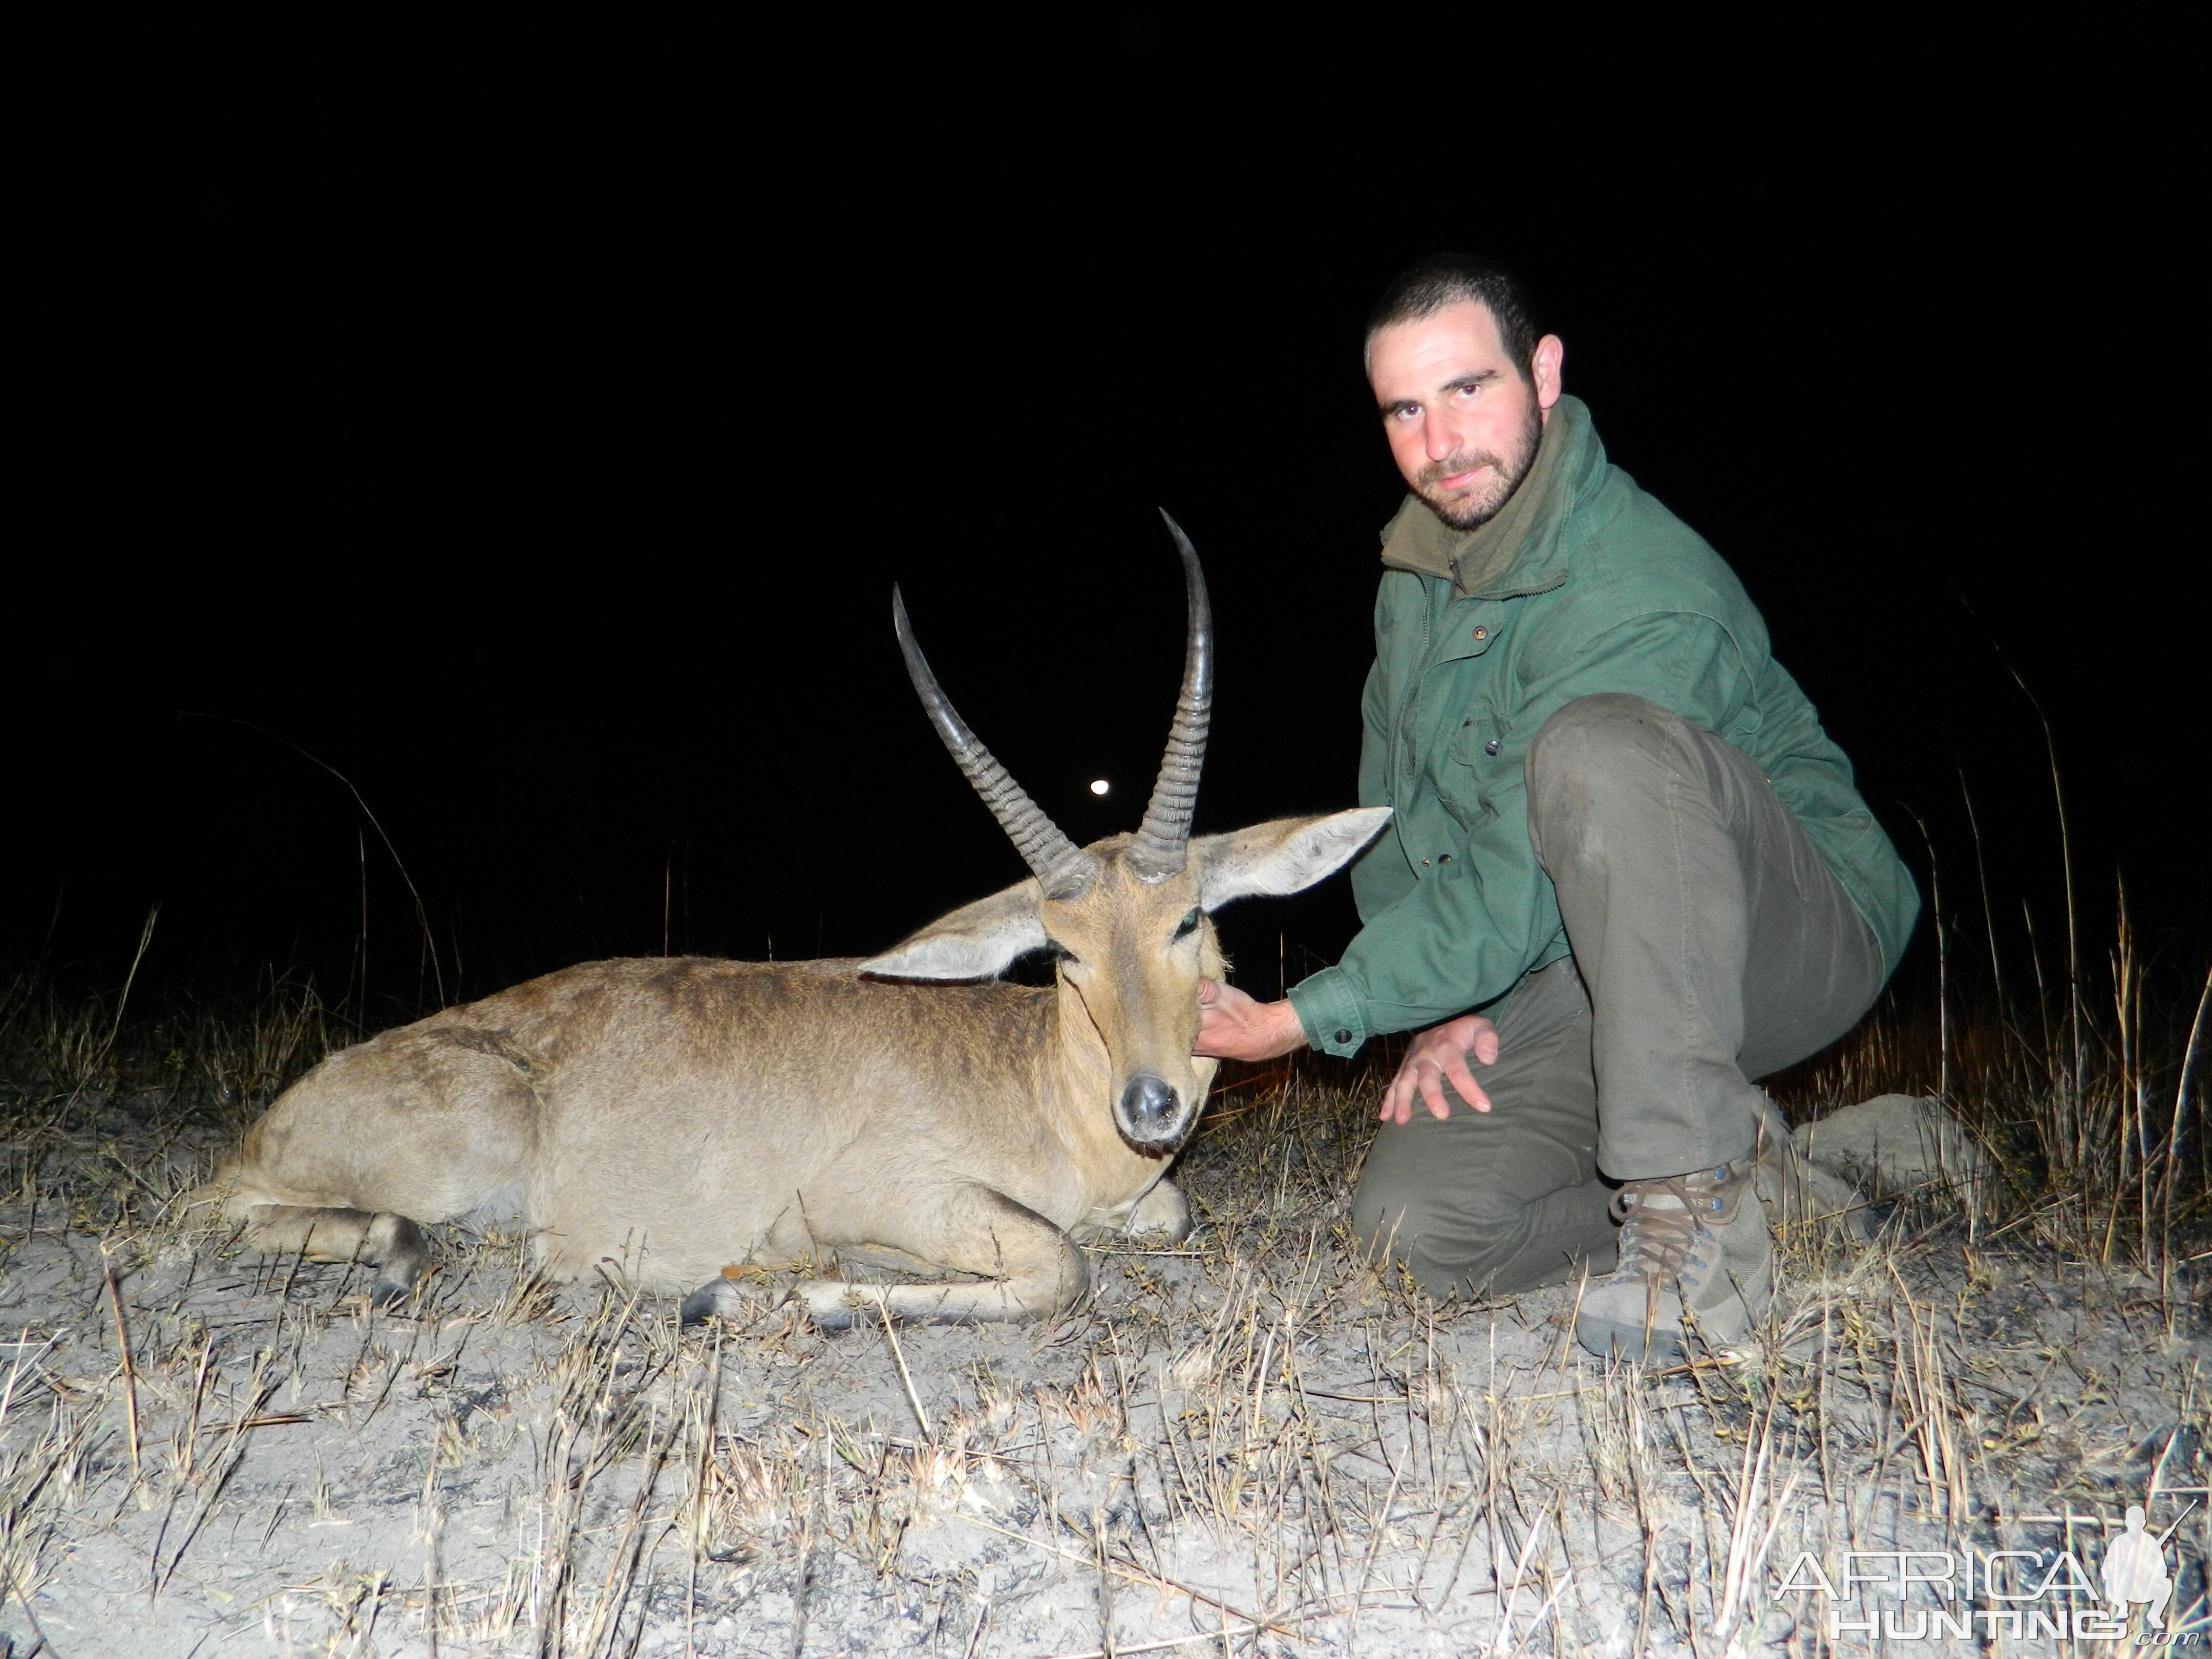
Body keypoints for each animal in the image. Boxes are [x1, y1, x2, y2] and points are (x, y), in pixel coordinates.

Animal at [203, 526, 1380, 1336]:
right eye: (1066, 954)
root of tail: (283, 1114)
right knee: (229, 1209)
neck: (1040, 1085)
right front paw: (766, 1296)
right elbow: (1061, 1267)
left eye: (1188, 918)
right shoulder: (891, 1195)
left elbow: (1165, 1216)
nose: (1151, 1104)